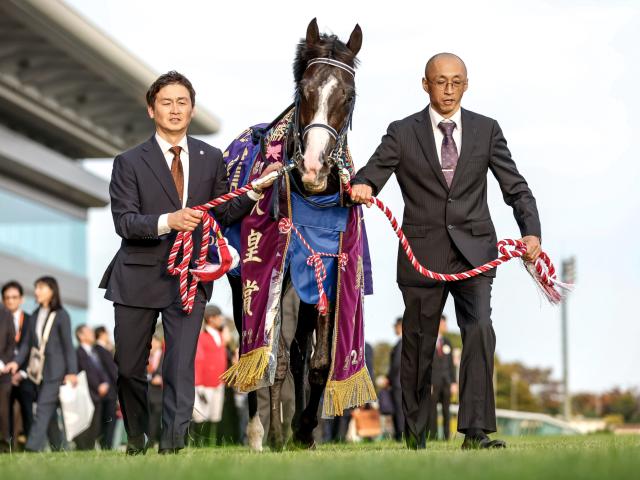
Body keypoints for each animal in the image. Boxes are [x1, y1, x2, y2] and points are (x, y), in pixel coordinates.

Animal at [221, 18, 374, 452]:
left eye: (348, 95)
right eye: (304, 90)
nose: (312, 168)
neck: (314, 197)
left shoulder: (330, 262)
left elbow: (317, 358)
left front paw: (305, 428)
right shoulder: (275, 266)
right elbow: (273, 355)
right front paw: (275, 432)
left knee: (300, 348)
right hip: (243, 280)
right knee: (254, 345)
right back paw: (259, 433)